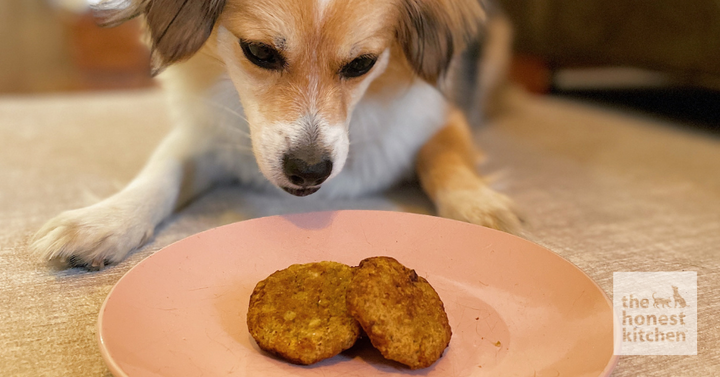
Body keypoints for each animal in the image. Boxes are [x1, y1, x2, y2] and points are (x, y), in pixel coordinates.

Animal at [31, 0, 520, 268]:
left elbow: (446, 159)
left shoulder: (439, 117)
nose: (309, 170)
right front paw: (105, 220)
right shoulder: (206, 135)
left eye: (362, 64)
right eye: (260, 52)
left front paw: (478, 206)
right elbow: (161, 173)